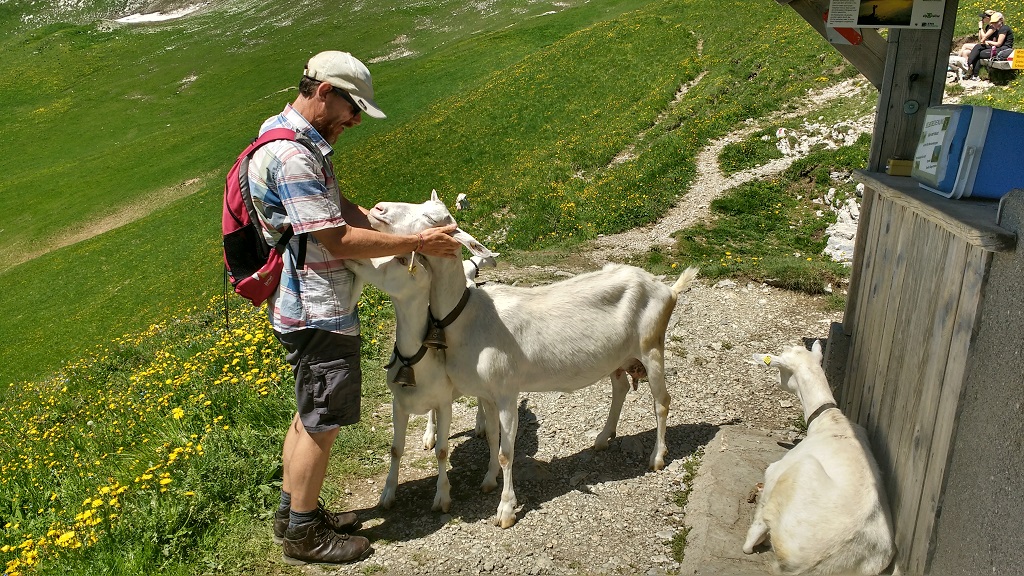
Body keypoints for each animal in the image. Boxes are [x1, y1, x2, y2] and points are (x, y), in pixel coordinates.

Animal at [365, 190, 699, 528]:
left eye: (432, 218)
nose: (378, 208)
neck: (467, 315)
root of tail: (667, 288)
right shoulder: (486, 394)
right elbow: (492, 439)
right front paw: (488, 481)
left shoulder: (507, 392)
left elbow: (507, 452)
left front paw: (506, 510)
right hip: (619, 357)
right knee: (620, 388)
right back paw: (603, 438)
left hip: (652, 347)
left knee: (662, 401)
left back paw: (657, 457)